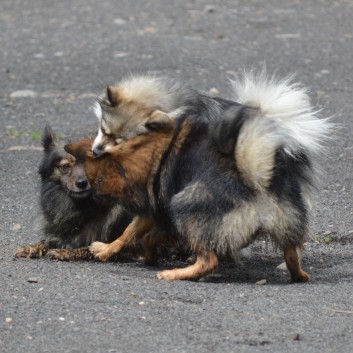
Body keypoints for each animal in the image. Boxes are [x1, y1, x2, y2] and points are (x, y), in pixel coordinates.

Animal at [14, 125, 133, 260]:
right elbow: (47, 241)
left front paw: (63, 252)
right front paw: (31, 247)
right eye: (66, 166)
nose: (82, 183)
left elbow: (87, 248)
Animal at [66, 71, 332, 280]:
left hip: (184, 204)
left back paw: (178, 272)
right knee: (291, 252)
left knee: (208, 258)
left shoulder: (154, 202)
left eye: (118, 140)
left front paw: (107, 249)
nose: (96, 151)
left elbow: (128, 232)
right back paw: (296, 272)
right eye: (103, 129)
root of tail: (256, 182)